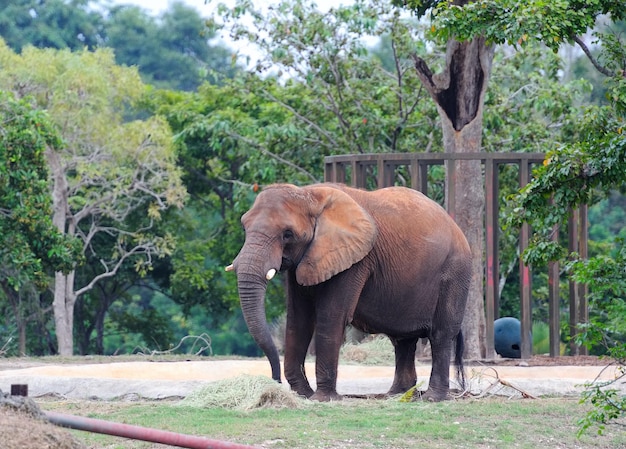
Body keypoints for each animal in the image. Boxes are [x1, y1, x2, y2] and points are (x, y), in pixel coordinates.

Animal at [224, 184, 468, 400]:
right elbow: (298, 319)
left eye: (287, 234)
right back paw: (397, 395)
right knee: (403, 339)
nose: (274, 382)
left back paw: (432, 398)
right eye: (244, 228)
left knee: (441, 335)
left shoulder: (355, 260)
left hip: (454, 273)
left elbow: (332, 316)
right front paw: (304, 395)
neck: (309, 194)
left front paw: (321, 399)